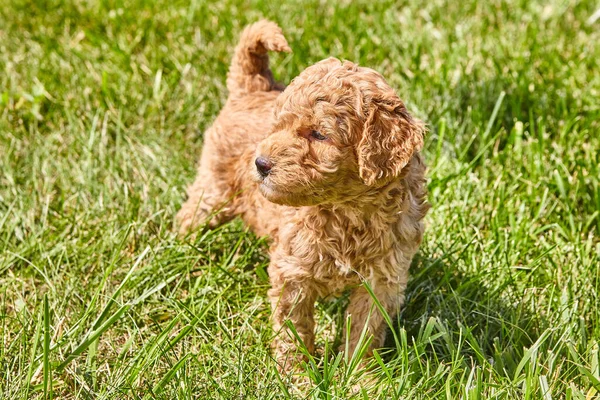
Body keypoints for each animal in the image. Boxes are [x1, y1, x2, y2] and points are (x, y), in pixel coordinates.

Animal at [176, 21, 428, 372]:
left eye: (319, 134)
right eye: (278, 126)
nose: (261, 163)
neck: (348, 210)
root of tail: (253, 87)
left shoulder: (383, 278)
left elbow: (366, 329)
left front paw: (359, 375)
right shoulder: (292, 273)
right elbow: (293, 327)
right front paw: (298, 374)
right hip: (213, 189)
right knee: (190, 216)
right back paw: (177, 252)